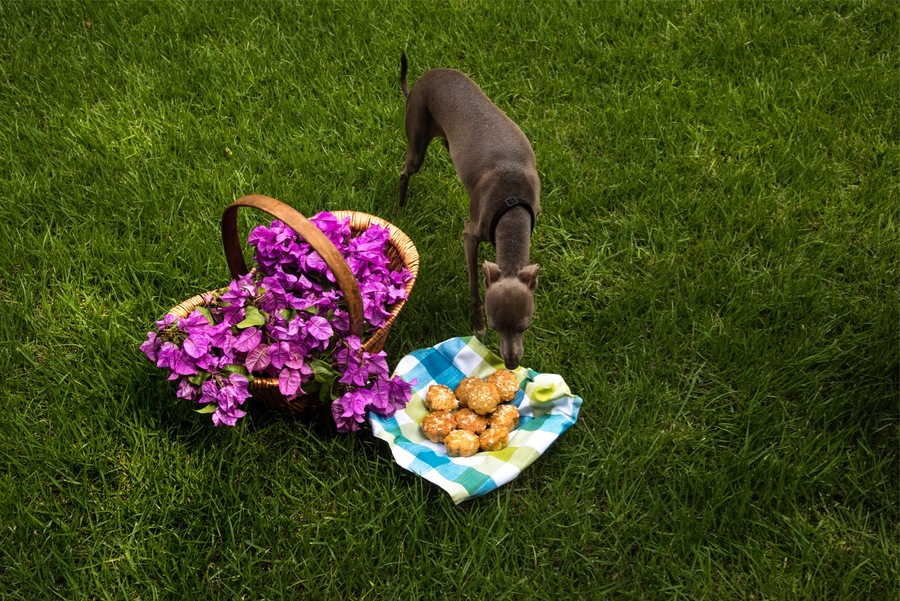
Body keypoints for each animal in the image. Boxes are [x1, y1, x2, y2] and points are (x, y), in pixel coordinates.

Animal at [398, 54, 536, 368]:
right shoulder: (470, 234)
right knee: (404, 171)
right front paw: (476, 325)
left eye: (524, 325)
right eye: (495, 326)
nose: (511, 363)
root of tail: (425, 76)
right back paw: (400, 205)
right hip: (416, 140)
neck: (512, 203)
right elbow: (474, 285)